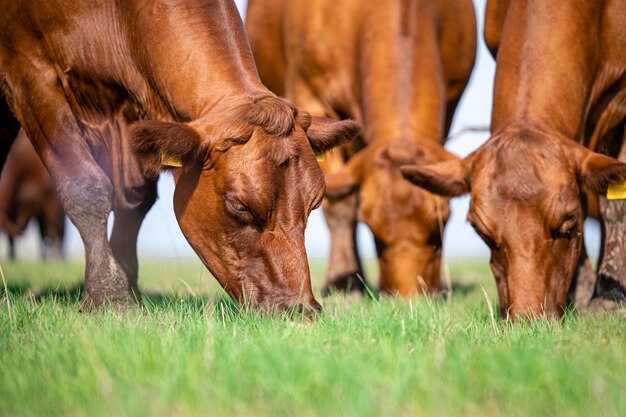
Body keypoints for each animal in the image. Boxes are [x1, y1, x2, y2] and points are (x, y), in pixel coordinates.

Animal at [244, 0, 472, 296]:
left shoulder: (453, 97)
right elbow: (340, 206)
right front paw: (345, 281)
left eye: (439, 230)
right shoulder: (312, 96)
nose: (410, 299)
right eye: (374, 234)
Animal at [400, 0, 624, 318]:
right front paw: (580, 292)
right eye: (481, 232)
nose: (529, 320)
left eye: (568, 221)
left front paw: (608, 295)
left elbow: (615, 206)